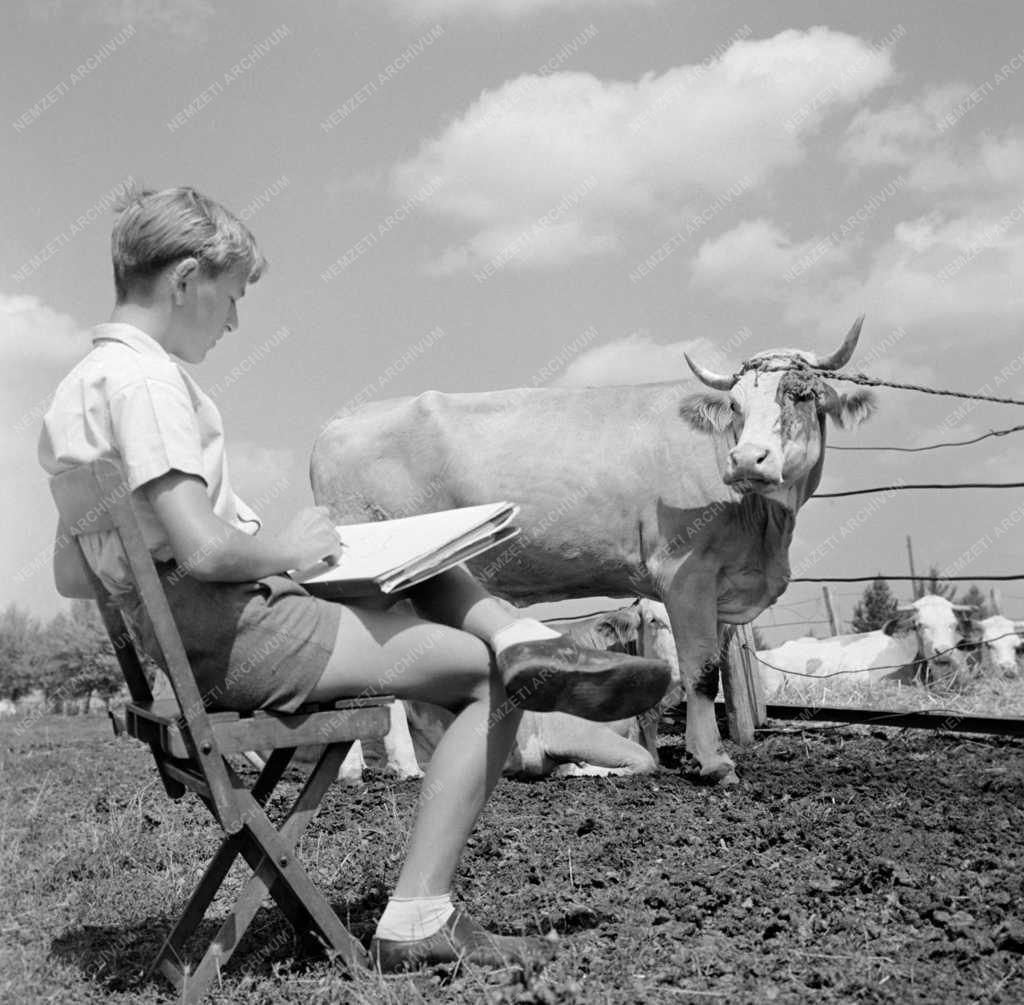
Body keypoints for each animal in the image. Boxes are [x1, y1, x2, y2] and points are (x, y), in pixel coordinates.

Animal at [307, 317, 876, 778]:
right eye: (736, 404)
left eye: (802, 395)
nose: (746, 459)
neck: (764, 530)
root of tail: (336, 426)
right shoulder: (685, 572)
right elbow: (701, 672)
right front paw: (714, 764)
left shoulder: (721, 587)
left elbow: (707, 669)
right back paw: (373, 769)